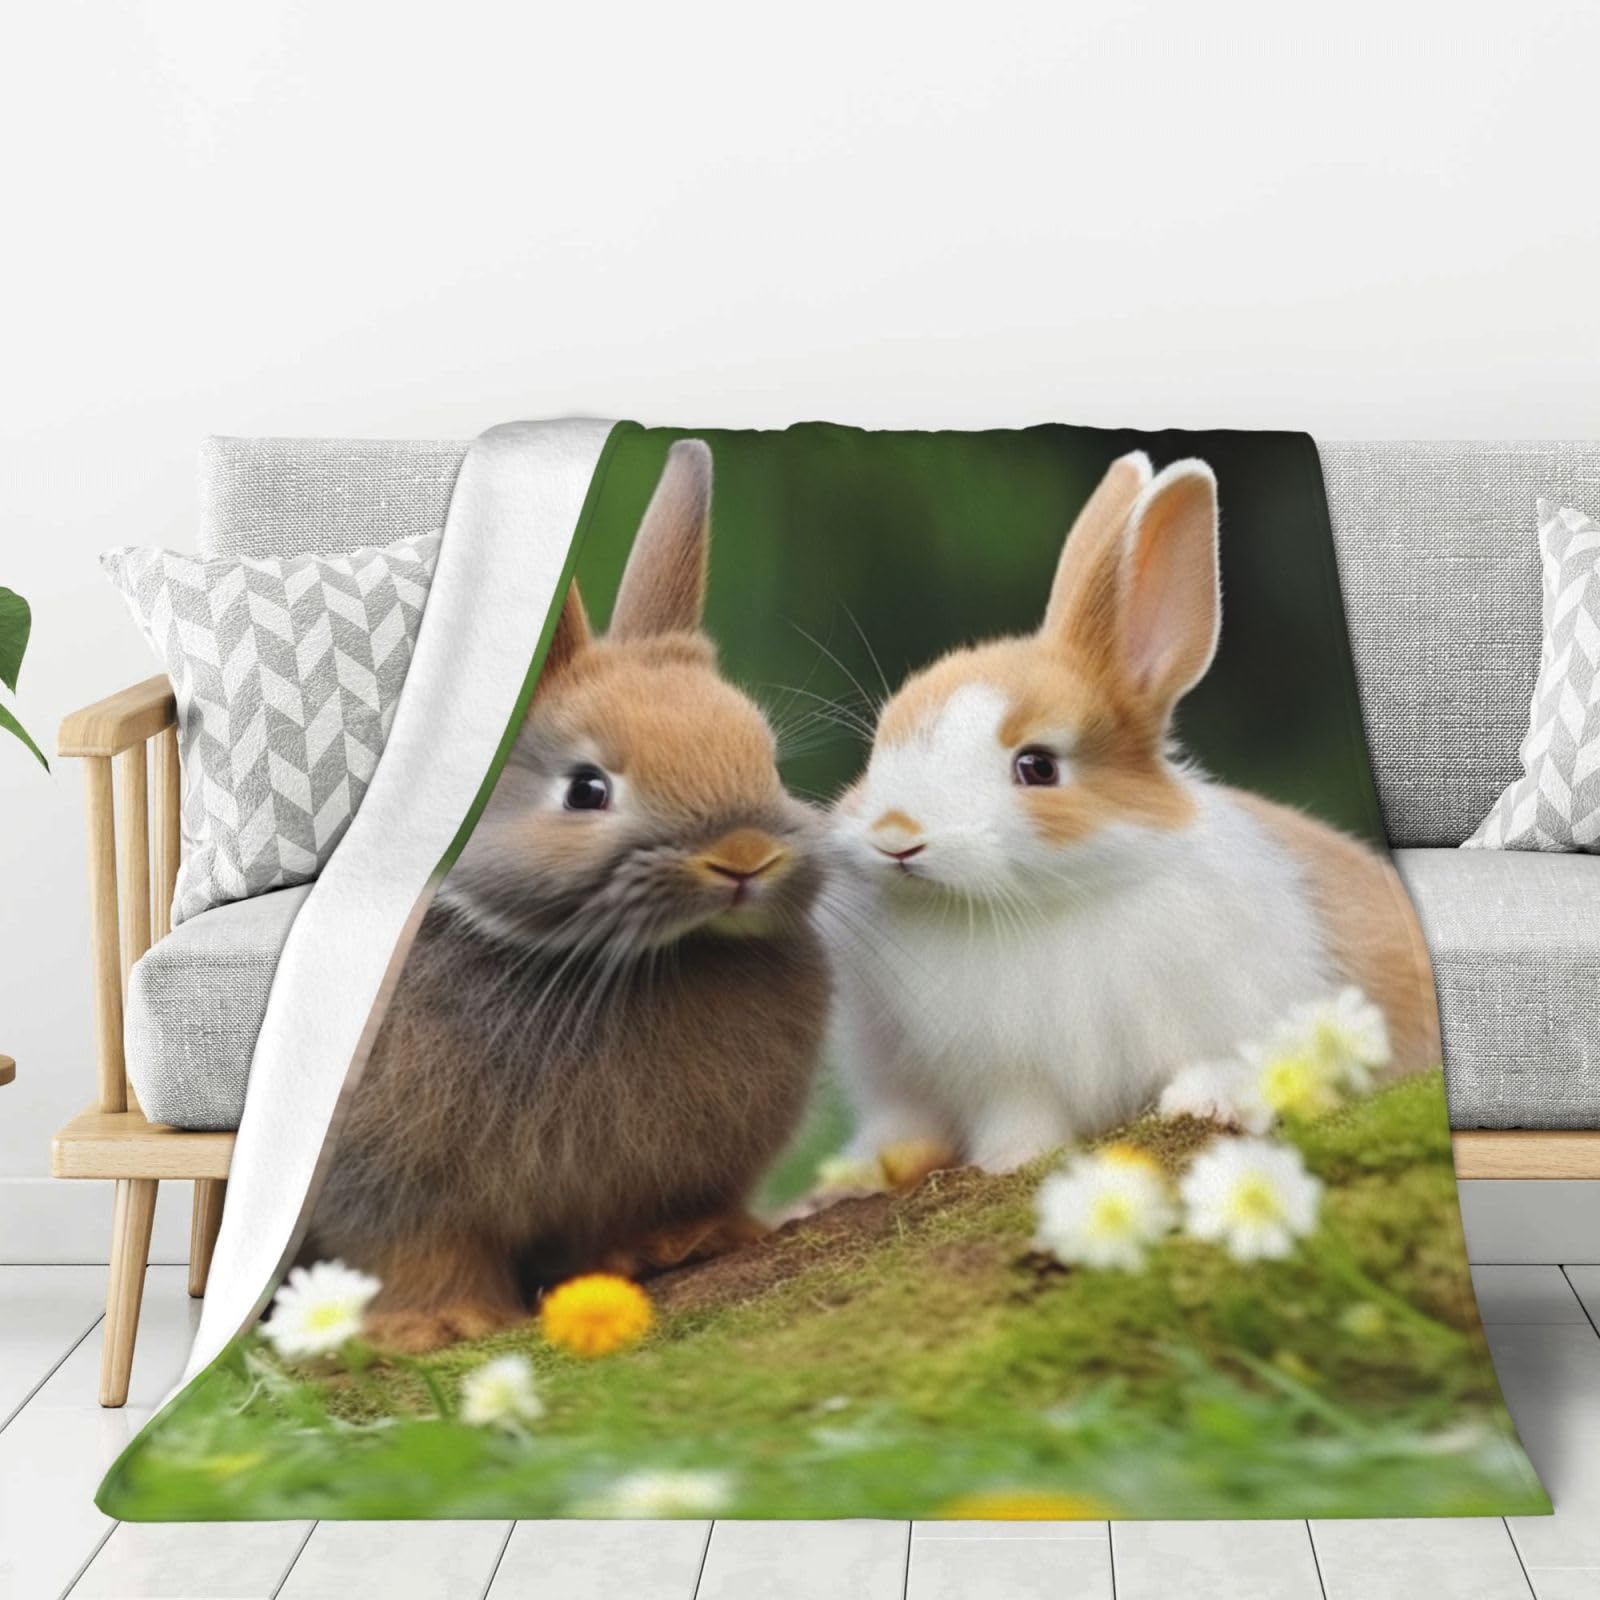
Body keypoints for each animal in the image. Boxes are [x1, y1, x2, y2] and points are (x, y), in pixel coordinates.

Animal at [304, 440, 831, 1352]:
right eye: (587, 789)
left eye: (765, 759)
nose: (743, 858)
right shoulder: (389, 1190)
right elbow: (419, 1252)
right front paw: (444, 1325)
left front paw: (681, 1243)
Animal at [823, 451, 1439, 1181]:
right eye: (880, 743)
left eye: (1038, 767)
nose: (896, 836)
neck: (1054, 904)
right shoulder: (1003, 1078)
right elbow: (1018, 1119)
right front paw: (1013, 1159)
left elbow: (1228, 1066)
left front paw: (1203, 1103)